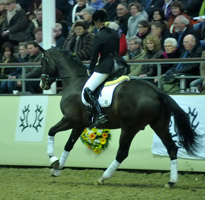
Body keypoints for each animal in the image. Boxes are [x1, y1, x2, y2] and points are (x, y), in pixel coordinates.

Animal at [39, 47, 198, 188]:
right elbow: (68, 145)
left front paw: (53, 161)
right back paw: (171, 182)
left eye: (43, 63)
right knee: (172, 149)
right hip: (159, 125)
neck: (74, 82)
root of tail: (156, 91)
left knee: (122, 153)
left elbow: (51, 131)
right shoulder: (79, 125)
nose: (42, 83)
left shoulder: (70, 120)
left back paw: (102, 178)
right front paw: (56, 168)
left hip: (129, 127)